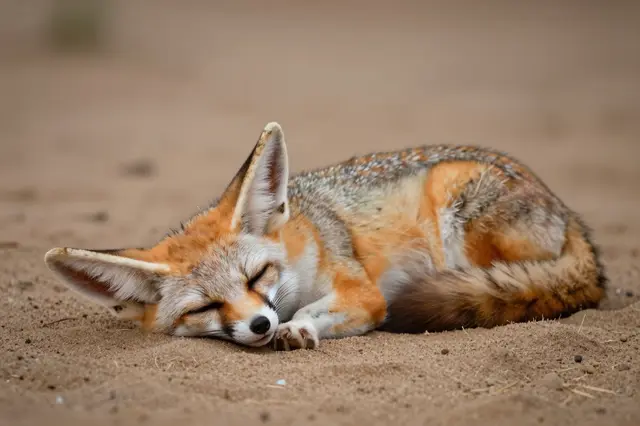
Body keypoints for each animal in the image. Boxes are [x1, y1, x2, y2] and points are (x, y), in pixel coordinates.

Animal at [44, 122, 607, 350]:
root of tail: (569, 211)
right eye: (204, 307)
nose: (259, 324)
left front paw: (298, 328)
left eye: (256, 275)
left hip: (455, 205)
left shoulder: (363, 293)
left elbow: (322, 310)